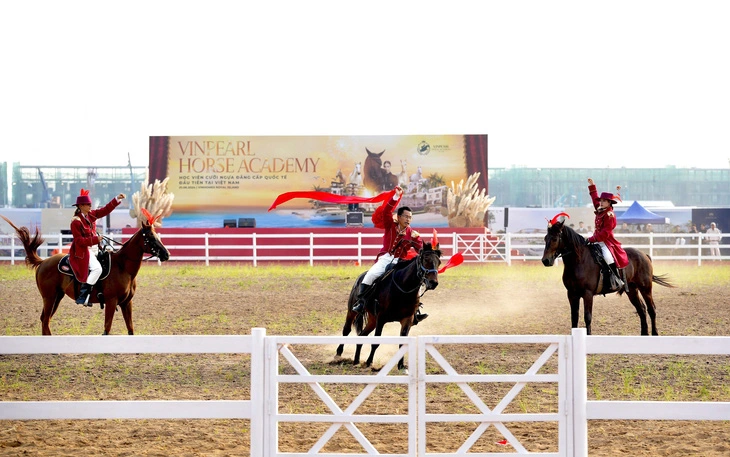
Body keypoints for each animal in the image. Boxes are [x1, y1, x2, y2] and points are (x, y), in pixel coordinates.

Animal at [2, 214, 169, 334]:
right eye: (151, 237)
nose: (166, 254)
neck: (122, 267)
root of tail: (43, 262)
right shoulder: (111, 301)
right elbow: (107, 328)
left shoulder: (126, 303)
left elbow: (130, 329)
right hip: (49, 298)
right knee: (45, 321)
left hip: (56, 297)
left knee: (45, 319)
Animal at [334, 240, 438, 368]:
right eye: (426, 259)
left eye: (439, 262)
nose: (433, 283)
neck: (402, 287)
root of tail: (360, 278)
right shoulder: (381, 318)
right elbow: (376, 342)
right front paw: (369, 362)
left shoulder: (407, 319)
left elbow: (403, 343)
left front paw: (400, 365)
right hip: (352, 311)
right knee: (347, 329)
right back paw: (338, 354)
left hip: (372, 319)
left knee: (362, 335)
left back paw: (356, 360)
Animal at [536, 214, 672, 334]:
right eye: (545, 238)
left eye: (554, 239)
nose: (545, 260)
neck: (579, 261)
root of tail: (644, 255)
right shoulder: (572, 294)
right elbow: (574, 318)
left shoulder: (587, 294)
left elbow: (587, 317)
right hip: (632, 290)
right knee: (641, 310)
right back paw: (644, 334)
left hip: (645, 288)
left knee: (651, 309)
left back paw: (655, 333)